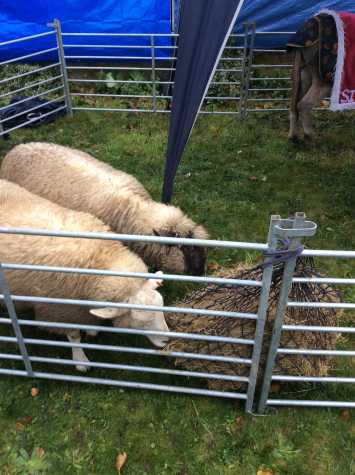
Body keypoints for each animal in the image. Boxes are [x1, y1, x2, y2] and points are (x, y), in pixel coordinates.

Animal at [0, 179, 170, 372]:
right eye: (142, 322)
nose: (167, 341)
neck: (100, 262)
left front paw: (91, 329)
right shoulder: (61, 311)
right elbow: (74, 336)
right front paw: (80, 359)